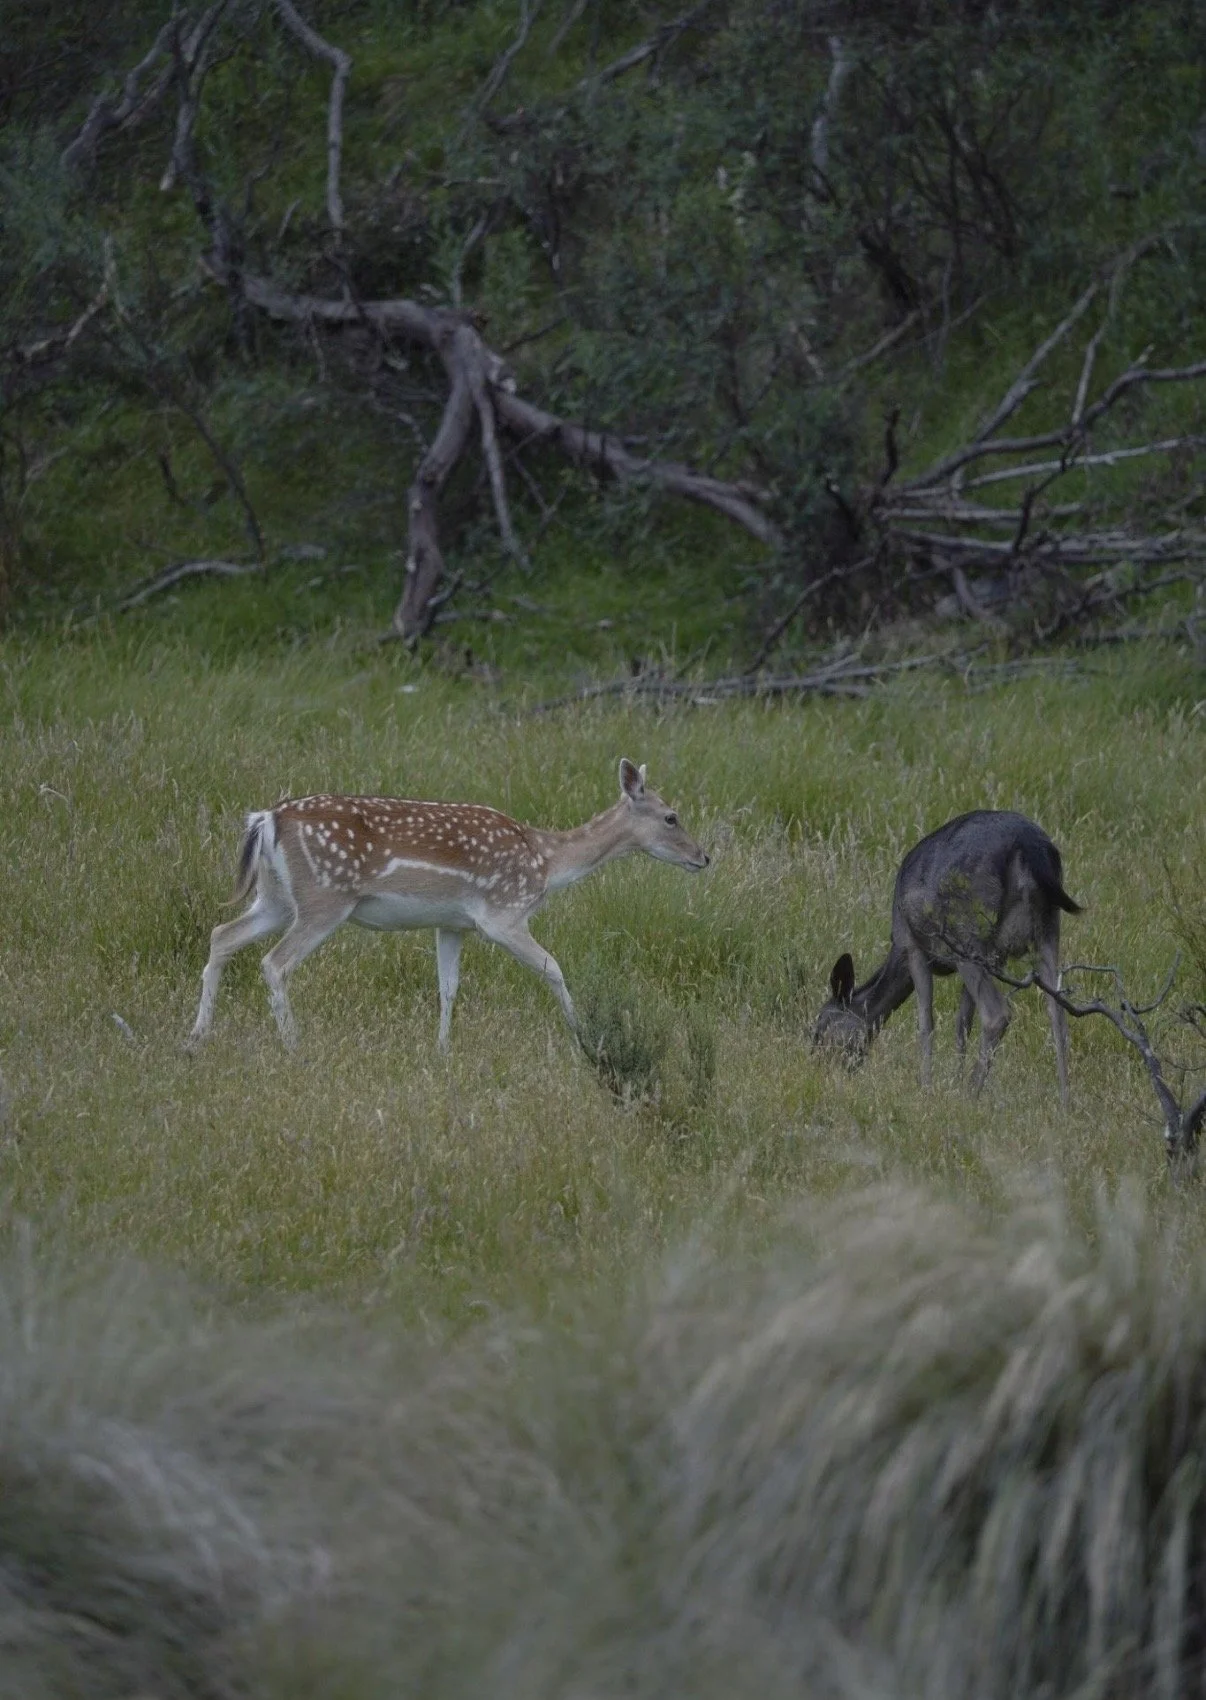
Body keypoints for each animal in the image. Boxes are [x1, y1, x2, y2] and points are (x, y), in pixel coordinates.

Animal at [188, 759, 708, 1052]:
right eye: (671, 816)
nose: (704, 857)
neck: (547, 861)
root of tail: (265, 819)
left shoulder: (453, 924)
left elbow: (447, 987)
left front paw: (441, 1051)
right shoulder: (503, 913)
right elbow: (553, 967)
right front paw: (583, 1038)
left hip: (276, 897)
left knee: (222, 935)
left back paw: (196, 1039)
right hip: (324, 898)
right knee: (274, 962)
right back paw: (294, 1046)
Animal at [813, 810, 1081, 1102]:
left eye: (820, 1028)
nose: (820, 1069)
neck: (895, 952)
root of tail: (1029, 845)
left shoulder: (912, 946)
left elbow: (925, 1023)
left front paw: (927, 1088)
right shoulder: (991, 959)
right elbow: (962, 1022)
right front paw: (954, 1079)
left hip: (967, 935)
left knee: (996, 1013)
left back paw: (972, 1095)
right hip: (1047, 929)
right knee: (1058, 1012)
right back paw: (1064, 1101)